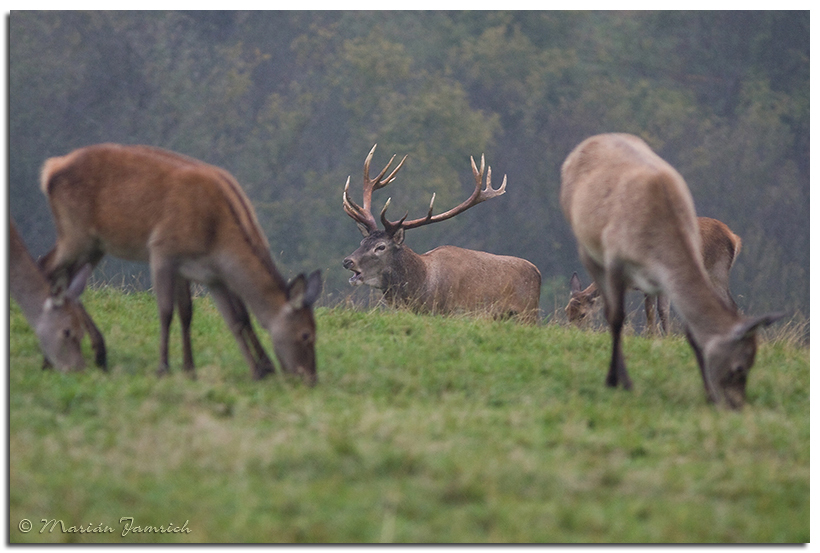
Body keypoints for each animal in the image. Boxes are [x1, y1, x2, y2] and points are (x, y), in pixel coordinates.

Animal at [39, 143, 320, 384]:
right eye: (306, 334)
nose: (311, 378)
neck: (217, 235)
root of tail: (51, 169)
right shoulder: (163, 251)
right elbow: (166, 311)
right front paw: (164, 367)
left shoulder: (206, 274)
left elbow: (228, 317)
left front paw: (254, 369)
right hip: (75, 234)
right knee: (46, 267)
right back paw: (51, 356)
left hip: (95, 245)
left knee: (69, 282)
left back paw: (92, 352)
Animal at [342, 144, 540, 322]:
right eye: (362, 242)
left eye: (380, 247)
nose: (347, 261)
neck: (422, 286)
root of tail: (537, 272)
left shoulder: (449, 311)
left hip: (528, 313)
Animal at [568, 216, 748, 332]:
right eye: (567, 311)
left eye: (582, 314)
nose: (573, 333)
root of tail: (734, 237)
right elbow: (650, 312)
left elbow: (661, 311)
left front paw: (664, 337)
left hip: (717, 272)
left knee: (732, 306)